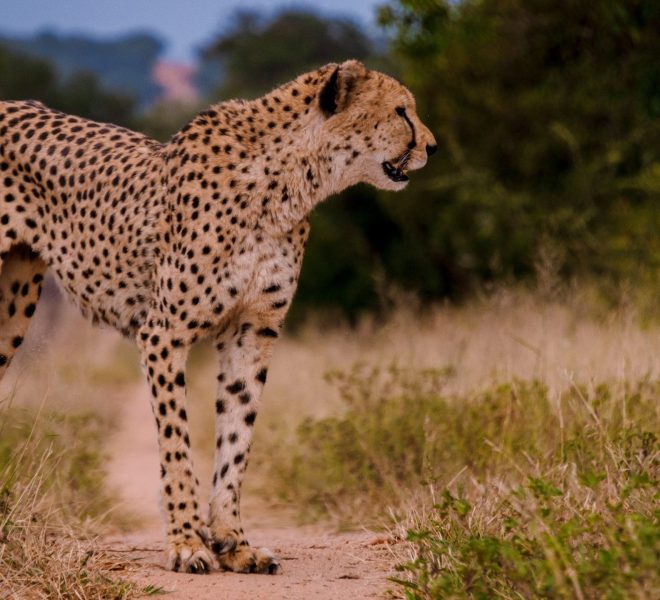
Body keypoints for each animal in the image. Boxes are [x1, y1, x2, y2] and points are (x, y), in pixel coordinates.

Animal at [0, 60, 436, 575]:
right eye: (401, 111)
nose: (432, 146)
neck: (286, 180)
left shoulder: (253, 330)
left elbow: (237, 435)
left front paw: (233, 540)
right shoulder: (164, 333)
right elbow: (176, 443)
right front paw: (188, 541)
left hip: (14, 300)